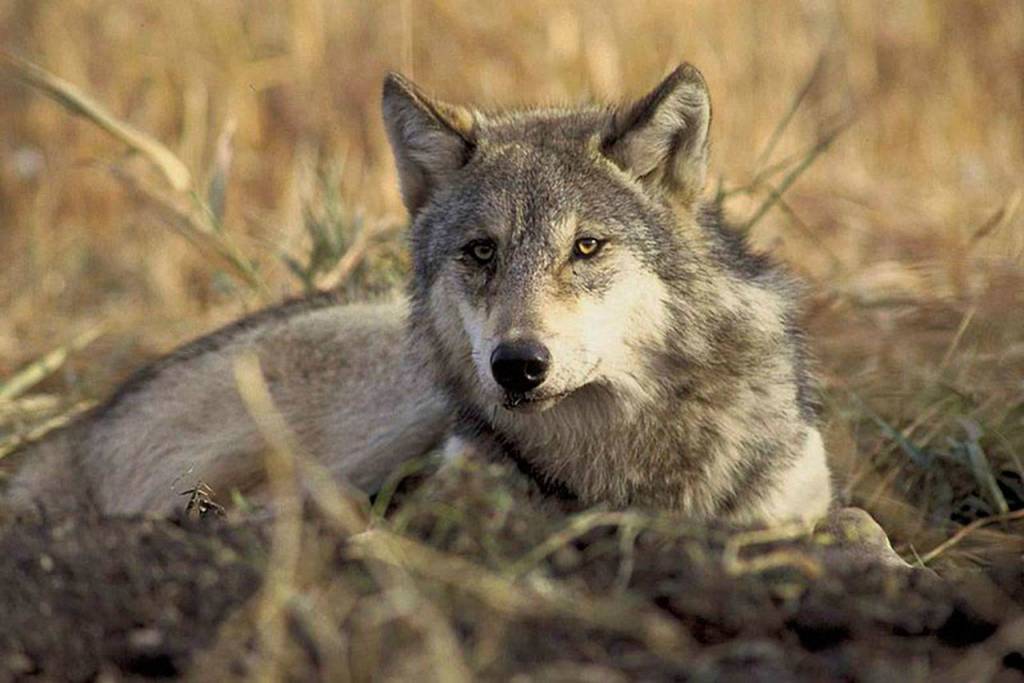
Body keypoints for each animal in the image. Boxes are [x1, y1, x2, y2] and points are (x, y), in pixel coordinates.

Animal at [2, 63, 833, 525]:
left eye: (587, 247)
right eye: (481, 251)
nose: (517, 365)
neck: (623, 462)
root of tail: (80, 428)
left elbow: (843, 523)